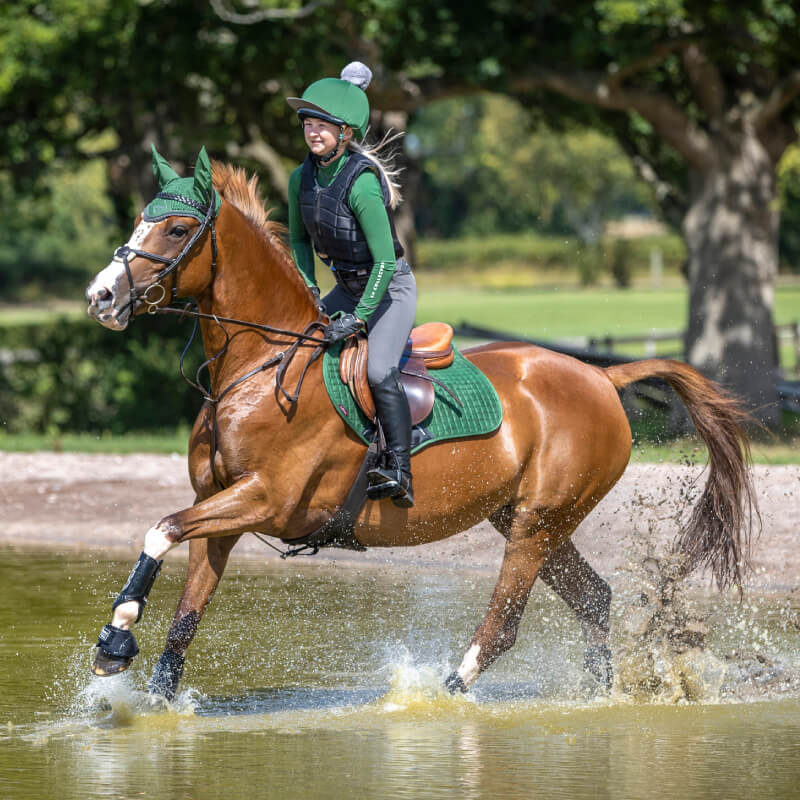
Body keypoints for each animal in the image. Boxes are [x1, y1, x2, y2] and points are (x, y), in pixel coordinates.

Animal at [85, 148, 757, 700]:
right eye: (139, 220)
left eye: (175, 229)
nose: (100, 297)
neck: (258, 367)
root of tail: (602, 377)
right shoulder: (219, 508)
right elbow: (184, 616)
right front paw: (144, 689)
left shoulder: (266, 499)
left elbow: (161, 529)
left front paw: (116, 639)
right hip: (528, 516)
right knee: (593, 600)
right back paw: (600, 697)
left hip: (539, 521)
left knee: (506, 621)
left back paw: (445, 693)